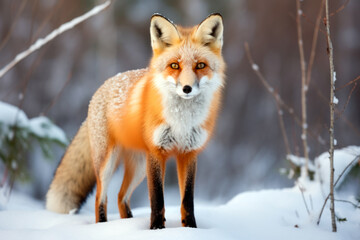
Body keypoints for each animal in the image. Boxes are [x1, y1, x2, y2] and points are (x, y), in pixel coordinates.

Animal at [45, 12, 225, 229]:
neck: (181, 121)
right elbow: (157, 200)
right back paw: (103, 226)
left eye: (200, 66)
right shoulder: (156, 152)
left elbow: (187, 201)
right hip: (108, 163)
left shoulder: (188, 153)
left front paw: (191, 229)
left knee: (121, 196)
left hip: (138, 167)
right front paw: (156, 229)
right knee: (101, 197)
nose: (187, 88)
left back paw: (128, 223)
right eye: (174, 65)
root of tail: (102, 87)